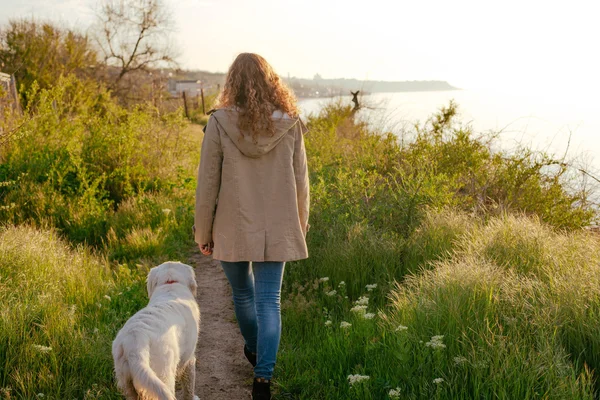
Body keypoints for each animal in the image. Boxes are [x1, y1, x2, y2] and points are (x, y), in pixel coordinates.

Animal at [110, 262, 199, 400]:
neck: (170, 284)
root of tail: (135, 340)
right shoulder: (188, 359)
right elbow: (189, 388)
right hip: (164, 374)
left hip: (127, 381)